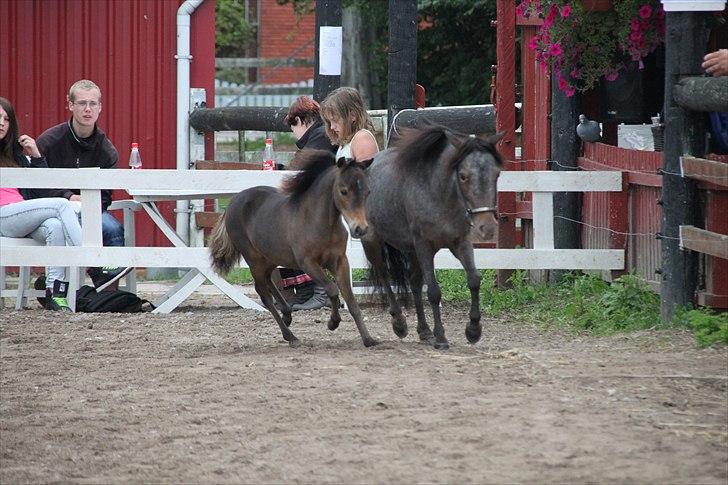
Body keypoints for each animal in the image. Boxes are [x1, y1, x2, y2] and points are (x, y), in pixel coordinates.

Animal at [362, 125, 504, 348]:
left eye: (496, 175)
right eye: (463, 176)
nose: (487, 227)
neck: (440, 195)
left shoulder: (460, 242)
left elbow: (474, 279)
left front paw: (473, 330)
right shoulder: (424, 245)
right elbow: (434, 292)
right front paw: (441, 337)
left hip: (412, 250)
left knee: (414, 282)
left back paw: (424, 331)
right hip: (373, 242)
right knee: (384, 275)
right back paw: (399, 323)